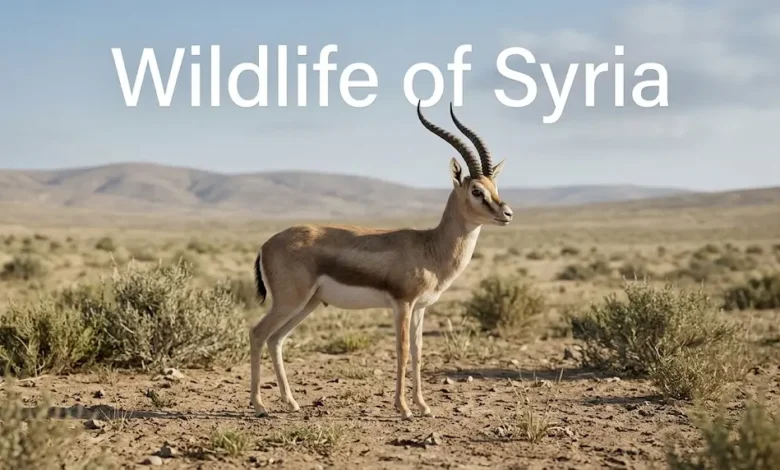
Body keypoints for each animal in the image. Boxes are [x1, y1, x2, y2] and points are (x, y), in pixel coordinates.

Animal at [250, 101, 514, 420]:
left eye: (495, 187)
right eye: (477, 191)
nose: (507, 213)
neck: (430, 247)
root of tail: (266, 245)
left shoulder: (420, 308)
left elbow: (417, 352)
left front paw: (423, 406)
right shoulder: (402, 304)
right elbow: (401, 351)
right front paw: (404, 408)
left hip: (307, 303)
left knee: (276, 339)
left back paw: (290, 402)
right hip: (290, 301)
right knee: (257, 333)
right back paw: (259, 405)